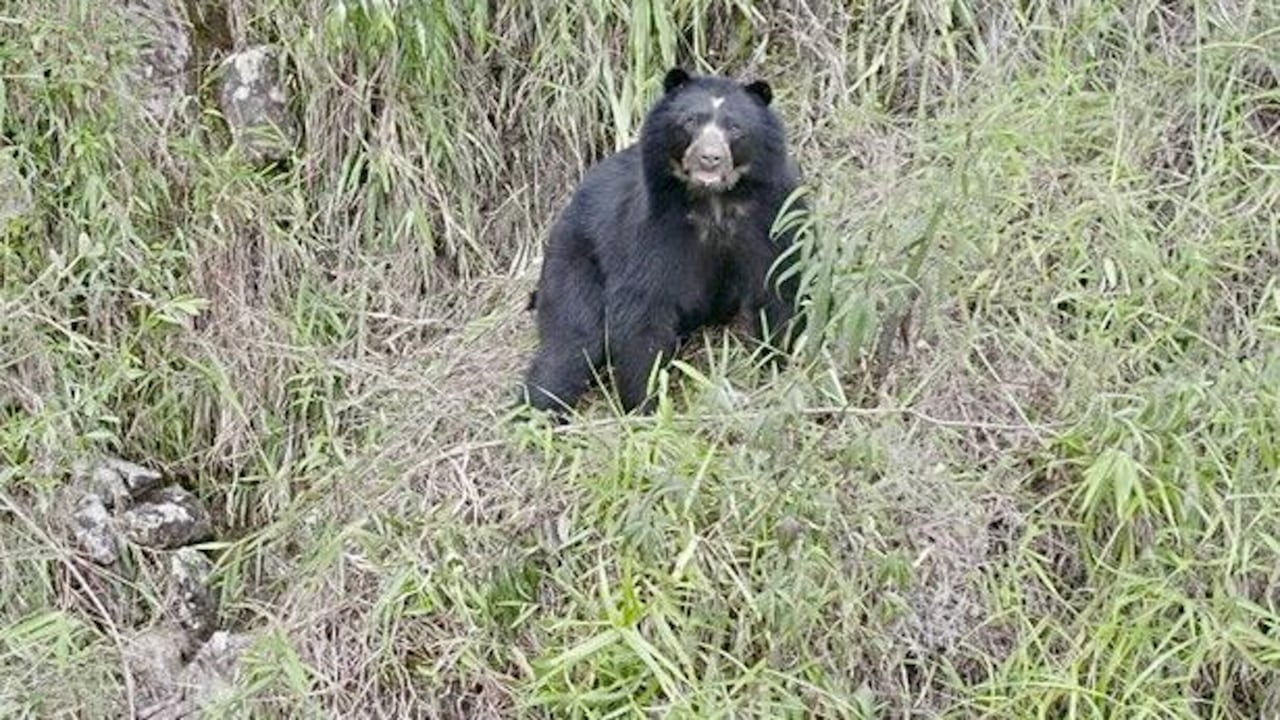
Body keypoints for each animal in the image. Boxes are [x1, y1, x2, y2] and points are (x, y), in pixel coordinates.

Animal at [518, 67, 808, 418]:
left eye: (735, 128)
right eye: (690, 121)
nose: (709, 159)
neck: (714, 202)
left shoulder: (771, 216)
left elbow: (778, 286)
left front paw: (777, 366)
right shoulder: (654, 226)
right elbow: (643, 308)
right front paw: (646, 403)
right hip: (575, 259)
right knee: (571, 342)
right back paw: (537, 411)